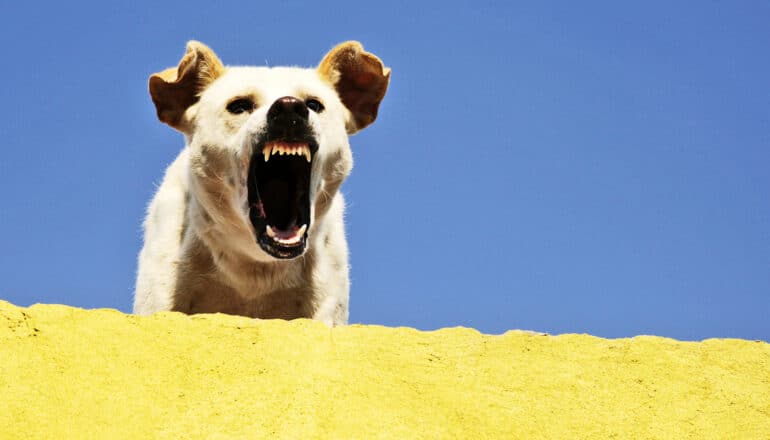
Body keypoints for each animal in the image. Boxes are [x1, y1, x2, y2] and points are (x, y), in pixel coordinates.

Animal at [132, 40, 390, 326]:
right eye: (238, 105)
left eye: (314, 104)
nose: (289, 108)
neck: (256, 269)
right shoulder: (160, 300)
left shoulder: (324, 308)